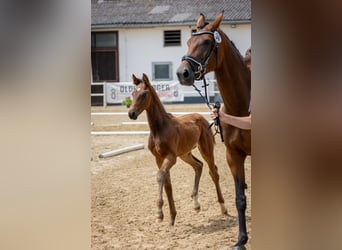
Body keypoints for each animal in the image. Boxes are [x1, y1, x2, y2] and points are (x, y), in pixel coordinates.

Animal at [128, 73, 227, 227]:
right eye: (133, 93)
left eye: (144, 94)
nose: (131, 113)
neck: (159, 128)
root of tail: (202, 118)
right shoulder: (159, 158)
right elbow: (167, 184)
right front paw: (172, 217)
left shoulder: (171, 157)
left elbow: (160, 176)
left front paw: (159, 214)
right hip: (185, 154)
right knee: (198, 166)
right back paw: (196, 204)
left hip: (206, 150)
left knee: (213, 173)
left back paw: (223, 208)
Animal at [176, 11, 251, 248]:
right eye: (188, 42)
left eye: (207, 42)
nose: (182, 73)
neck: (241, 107)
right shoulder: (233, 156)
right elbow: (240, 198)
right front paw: (241, 239)